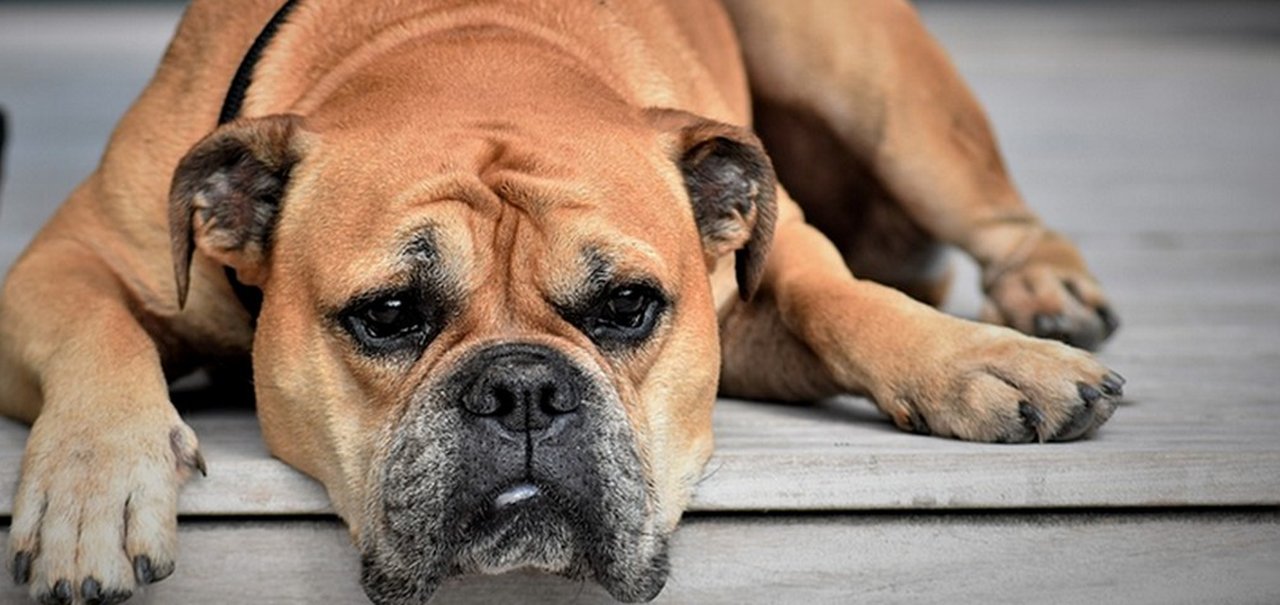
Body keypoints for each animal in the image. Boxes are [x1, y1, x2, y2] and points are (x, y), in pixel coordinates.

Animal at [0, 0, 1121, 601]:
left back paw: (1044, 295)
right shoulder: (61, 262)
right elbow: (96, 329)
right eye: (389, 315)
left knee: (987, 211)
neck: (460, 42)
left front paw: (979, 359)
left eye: (627, 304)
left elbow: (841, 297)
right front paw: (94, 488)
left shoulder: (772, 269)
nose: (524, 390)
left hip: (871, 80)